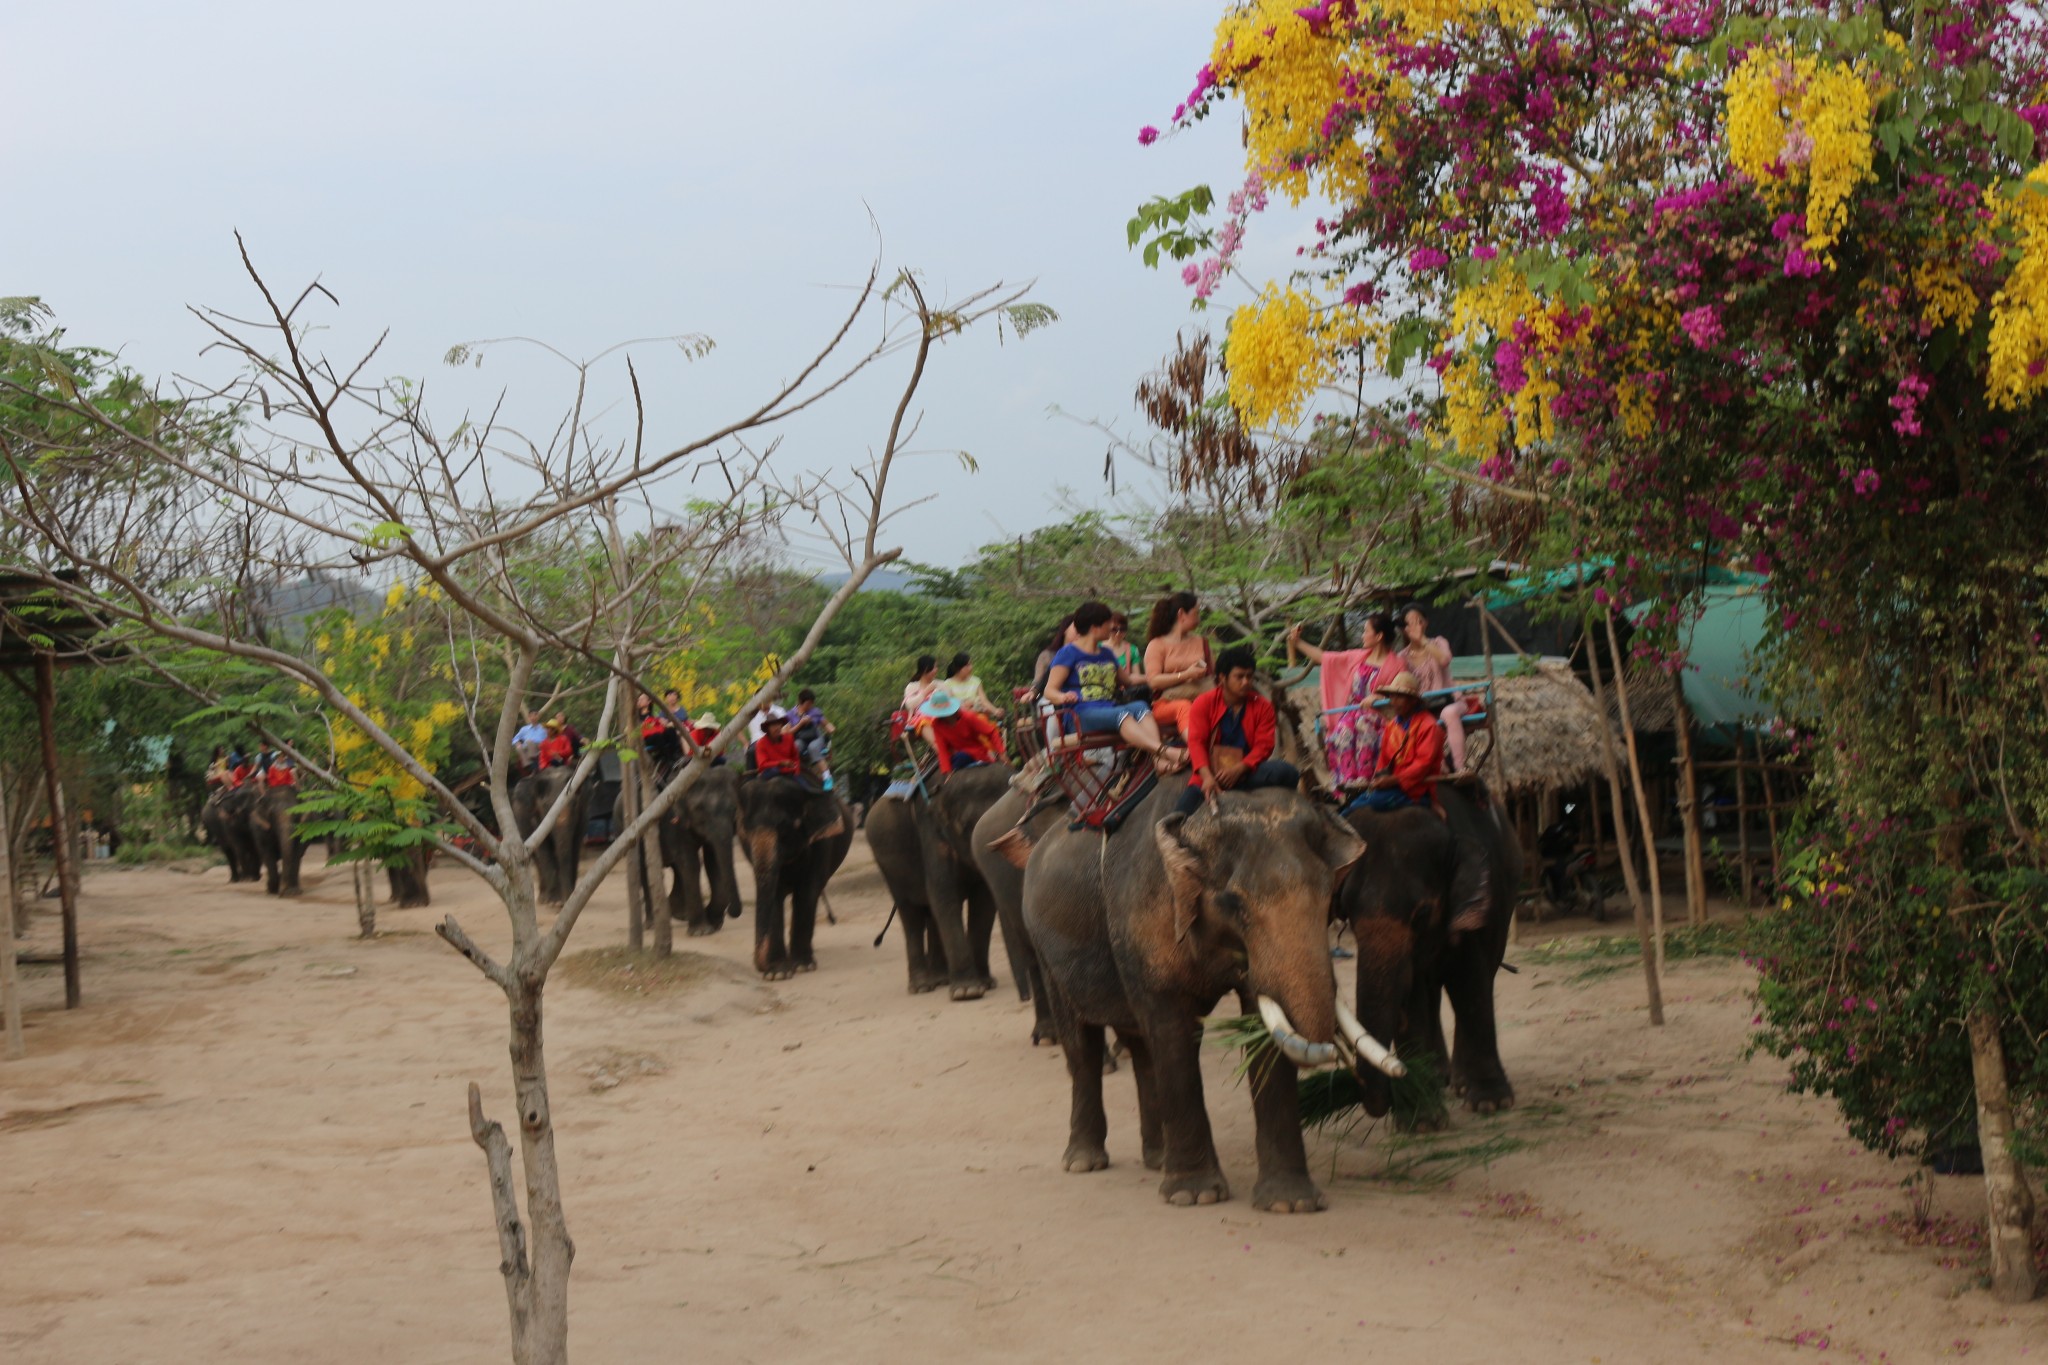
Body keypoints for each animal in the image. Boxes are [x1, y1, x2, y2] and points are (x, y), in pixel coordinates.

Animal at [512, 769, 593, 908]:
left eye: (575, 806)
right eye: (547, 809)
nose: (564, 901)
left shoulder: (582, 816)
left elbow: (574, 846)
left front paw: (570, 899)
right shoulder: (535, 817)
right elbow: (544, 849)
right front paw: (555, 902)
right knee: (537, 859)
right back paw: (543, 899)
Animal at [741, 769, 851, 982]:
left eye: (784, 827)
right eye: (745, 830)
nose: (760, 966)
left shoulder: (821, 842)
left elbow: (807, 892)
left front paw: (802, 966)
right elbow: (774, 896)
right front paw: (777, 973)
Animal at [1015, 785, 1400, 1211]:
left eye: (1329, 896)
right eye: (1235, 904)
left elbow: (1259, 1029)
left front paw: (1290, 1205)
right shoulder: (1143, 920)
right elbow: (1172, 1030)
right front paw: (1193, 1196)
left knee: (1141, 1046)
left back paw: (1158, 1159)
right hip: (1044, 947)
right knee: (1082, 1045)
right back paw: (1085, 1163)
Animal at [1343, 785, 1523, 1129]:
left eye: (1422, 912)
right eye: (1348, 916)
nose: (1384, 1099)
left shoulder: (1476, 904)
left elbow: (1469, 979)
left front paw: (1491, 1103)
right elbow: (1410, 993)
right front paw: (1420, 1121)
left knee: (1483, 974)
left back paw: (1460, 1083)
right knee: (1429, 991)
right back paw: (1439, 1078)